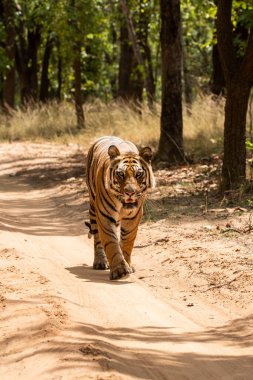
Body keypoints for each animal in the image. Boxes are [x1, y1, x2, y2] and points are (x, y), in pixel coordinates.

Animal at [86, 136, 155, 280]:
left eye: (138, 174)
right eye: (121, 174)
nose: (130, 192)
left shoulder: (133, 217)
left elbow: (127, 242)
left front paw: (127, 265)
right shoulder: (105, 216)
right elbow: (111, 243)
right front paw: (120, 270)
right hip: (93, 208)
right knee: (97, 238)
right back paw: (100, 262)